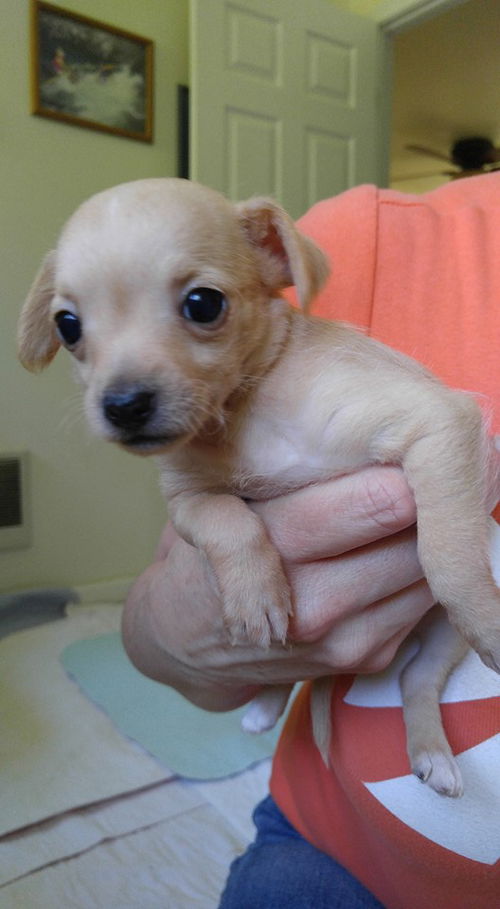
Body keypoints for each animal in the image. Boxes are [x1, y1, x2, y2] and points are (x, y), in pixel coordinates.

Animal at [17, 176, 498, 796]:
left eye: (203, 304)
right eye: (68, 326)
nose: (122, 406)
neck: (246, 412)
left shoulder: (438, 422)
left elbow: (448, 555)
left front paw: (488, 618)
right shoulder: (190, 498)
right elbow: (228, 521)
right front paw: (255, 592)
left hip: (442, 637)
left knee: (416, 678)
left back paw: (433, 754)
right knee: (310, 672)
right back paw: (268, 706)